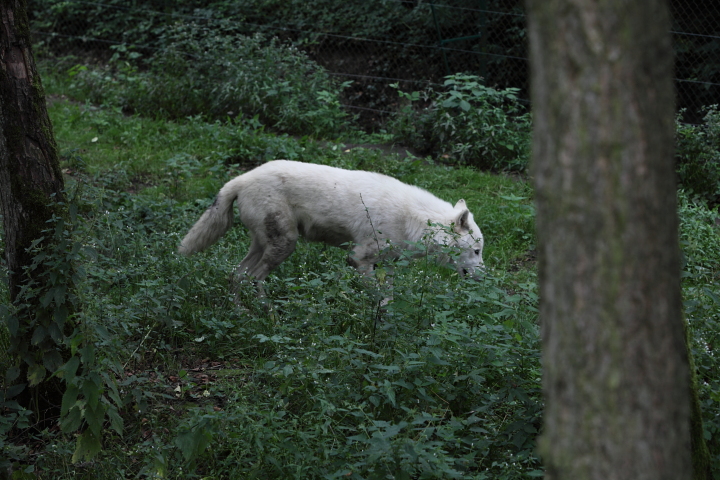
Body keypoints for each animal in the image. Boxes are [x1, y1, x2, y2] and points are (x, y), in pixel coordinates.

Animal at [178, 160, 484, 298]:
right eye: (478, 251)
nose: (485, 278)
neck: (415, 220)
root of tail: (239, 180)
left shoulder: (387, 264)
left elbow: (389, 296)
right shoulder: (358, 259)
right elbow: (378, 297)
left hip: (264, 244)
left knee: (236, 276)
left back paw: (240, 313)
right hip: (285, 245)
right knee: (253, 279)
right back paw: (268, 317)